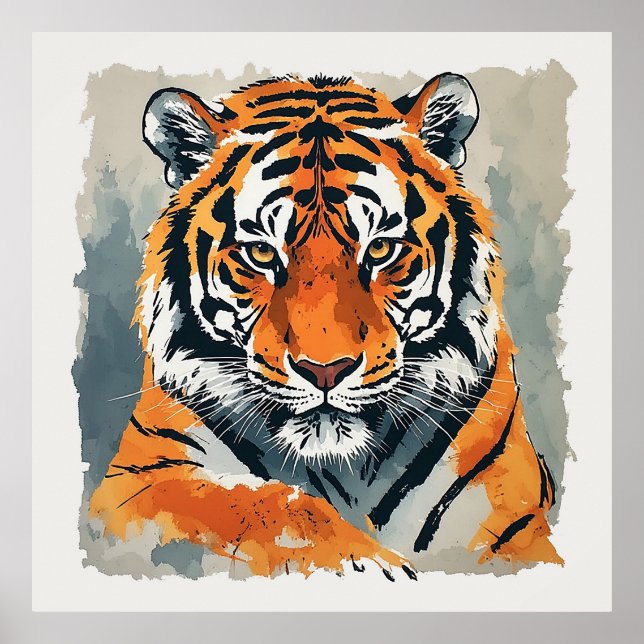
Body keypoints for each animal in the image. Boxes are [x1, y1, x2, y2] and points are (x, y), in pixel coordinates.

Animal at [88, 72, 563, 580]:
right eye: (261, 253)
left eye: (380, 249)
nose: (325, 371)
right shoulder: (143, 477)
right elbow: (264, 505)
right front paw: (371, 566)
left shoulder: (511, 516)